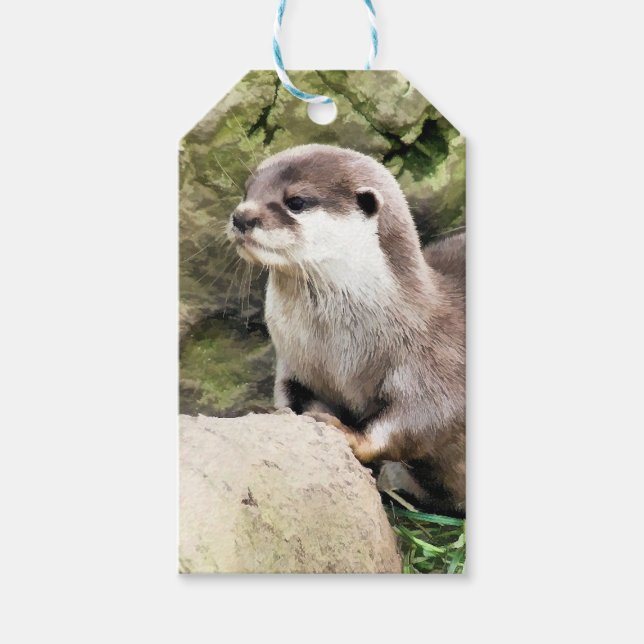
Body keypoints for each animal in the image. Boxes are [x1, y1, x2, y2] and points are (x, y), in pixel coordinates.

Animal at [227, 144, 465, 516]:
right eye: (247, 191)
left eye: (296, 201)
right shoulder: (294, 364)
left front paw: (349, 434)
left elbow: (428, 417)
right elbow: (290, 394)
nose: (241, 217)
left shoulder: (435, 361)